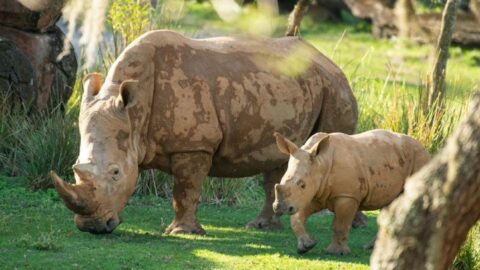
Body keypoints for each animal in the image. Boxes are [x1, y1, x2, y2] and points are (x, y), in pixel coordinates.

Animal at [272, 130, 430, 254]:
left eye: (302, 185)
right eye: (282, 179)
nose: (280, 207)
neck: (321, 163)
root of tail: (423, 147)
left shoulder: (346, 195)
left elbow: (340, 225)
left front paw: (336, 252)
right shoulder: (313, 194)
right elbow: (296, 218)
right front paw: (306, 246)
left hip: (419, 159)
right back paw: (372, 247)